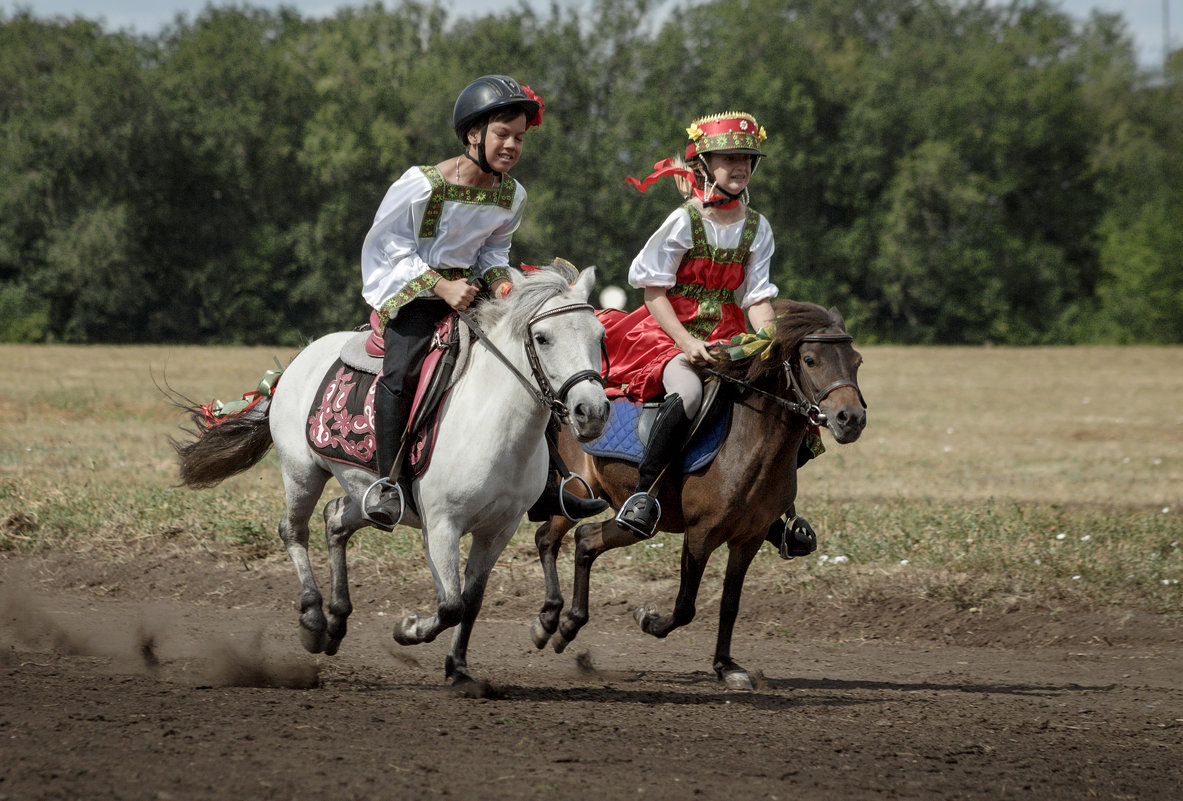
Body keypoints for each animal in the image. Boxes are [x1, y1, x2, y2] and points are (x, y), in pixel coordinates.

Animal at [175, 263, 610, 686]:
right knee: (293, 531)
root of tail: (297, 361)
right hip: (301, 472)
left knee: (336, 519)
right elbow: (450, 605)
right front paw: (409, 629)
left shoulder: (498, 529)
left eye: (600, 334)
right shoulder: (442, 525)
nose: (592, 411)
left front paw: (458, 669)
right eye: (542, 337)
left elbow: (471, 602)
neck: (491, 421)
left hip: (366, 495)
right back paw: (314, 621)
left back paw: (336, 621)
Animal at [532, 300, 865, 686]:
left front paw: (726, 665)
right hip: (576, 490)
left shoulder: (748, 538)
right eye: (810, 360)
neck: (752, 441)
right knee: (548, 538)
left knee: (586, 539)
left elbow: (730, 603)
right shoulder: (700, 534)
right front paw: (649, 620)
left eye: (857, 361)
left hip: (632, 521)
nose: (851, 419)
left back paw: (569, 625)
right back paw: (548, 620)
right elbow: (685, 606)